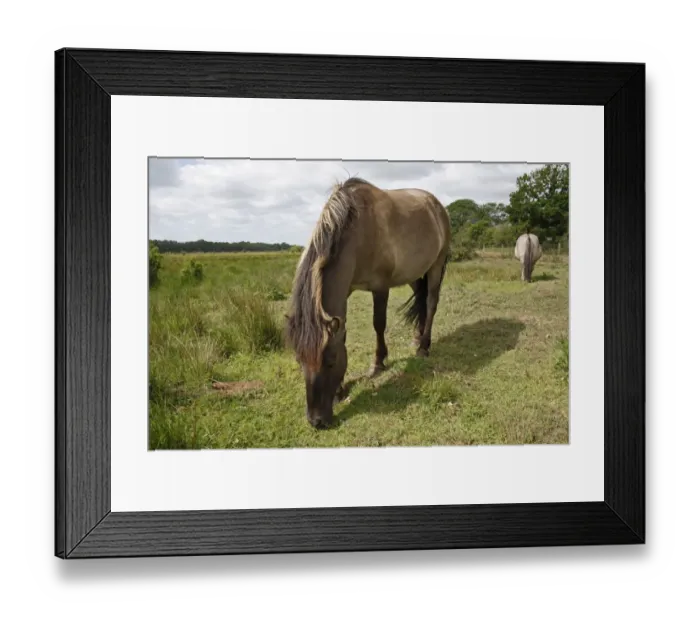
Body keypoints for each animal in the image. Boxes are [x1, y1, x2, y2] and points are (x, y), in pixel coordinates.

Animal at [284, 177, 451, 430]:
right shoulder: (346, 292)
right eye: (299, 360)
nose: (316, 421)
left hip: (436, 265)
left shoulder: (380, 287)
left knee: (431, 302)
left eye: (331, 361)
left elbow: (378, 324)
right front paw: (340, 390)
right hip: (414, 273)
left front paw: (378, 363)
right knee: (422, 302)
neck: (357, 233)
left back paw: (424, 346)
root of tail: (436, 204)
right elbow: (342, 333)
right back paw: (417, 338)